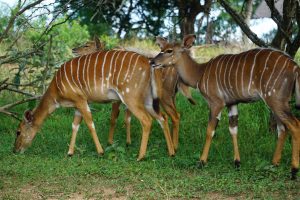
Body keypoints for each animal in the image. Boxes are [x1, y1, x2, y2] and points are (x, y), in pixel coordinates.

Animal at [14, 45, 178, 161]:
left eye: (18, 131)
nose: (15, 150)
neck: (57, 90)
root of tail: (148, 63)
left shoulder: (80, 100)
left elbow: (89, 124)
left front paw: (100, 151)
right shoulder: (78, 105)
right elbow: (75, 125)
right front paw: (70, 153)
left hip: (130, 96)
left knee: (147, 120)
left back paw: (140, 156)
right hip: (149, 99)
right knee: (162, 117)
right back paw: (171, 152)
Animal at [151, 34, 300, 180]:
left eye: (169, 50)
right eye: (161, 48)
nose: (152, 62)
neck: (200, 73)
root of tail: (295, 67)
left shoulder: (216, 103)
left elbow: (210, 131)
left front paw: (202, 161)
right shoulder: (231, 104)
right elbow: (233, 130)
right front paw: (237, 162)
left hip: (275, 100)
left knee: (294, 125)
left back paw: (293, 171)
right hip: (275, 103)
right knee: (282, 128)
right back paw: (274, 163)